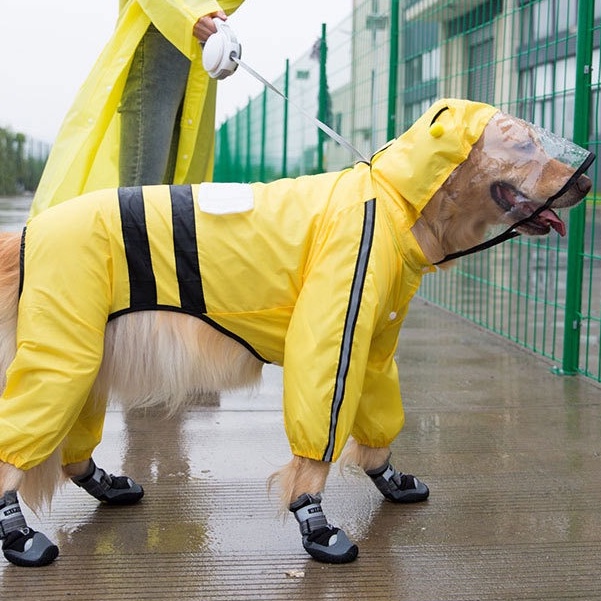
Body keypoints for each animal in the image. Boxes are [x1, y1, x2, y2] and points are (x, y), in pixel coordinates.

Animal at [0, 99, 592, 568]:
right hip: (65, 357)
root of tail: (29, 231)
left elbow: (379, 418)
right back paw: (17, 533)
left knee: (72, 446)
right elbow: (319, 437)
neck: (393, 198)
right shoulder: (332, 331)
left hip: (89, 359)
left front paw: (388, 476)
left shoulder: (373, 343)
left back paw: (103, 484)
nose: (586, 180)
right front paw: (315, 522)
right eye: (522, 144)